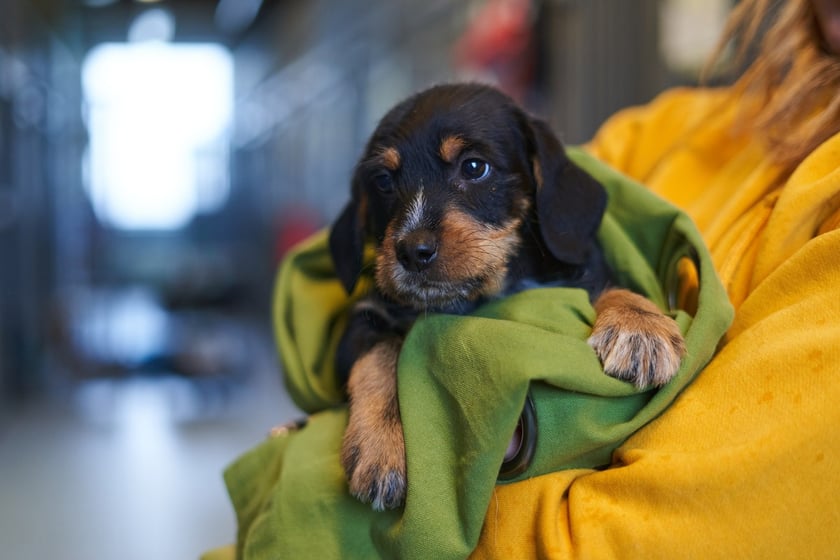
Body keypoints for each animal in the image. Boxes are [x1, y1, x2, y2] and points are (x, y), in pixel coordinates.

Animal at [324, 83, 684, 512]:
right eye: (382, 181)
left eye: (474, 167)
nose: (411, 251)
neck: (485, 294)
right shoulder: (361, 320)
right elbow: (381, 355)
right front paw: (381, 446)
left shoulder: (584, 276)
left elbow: (612, 288)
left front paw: (640, 329)